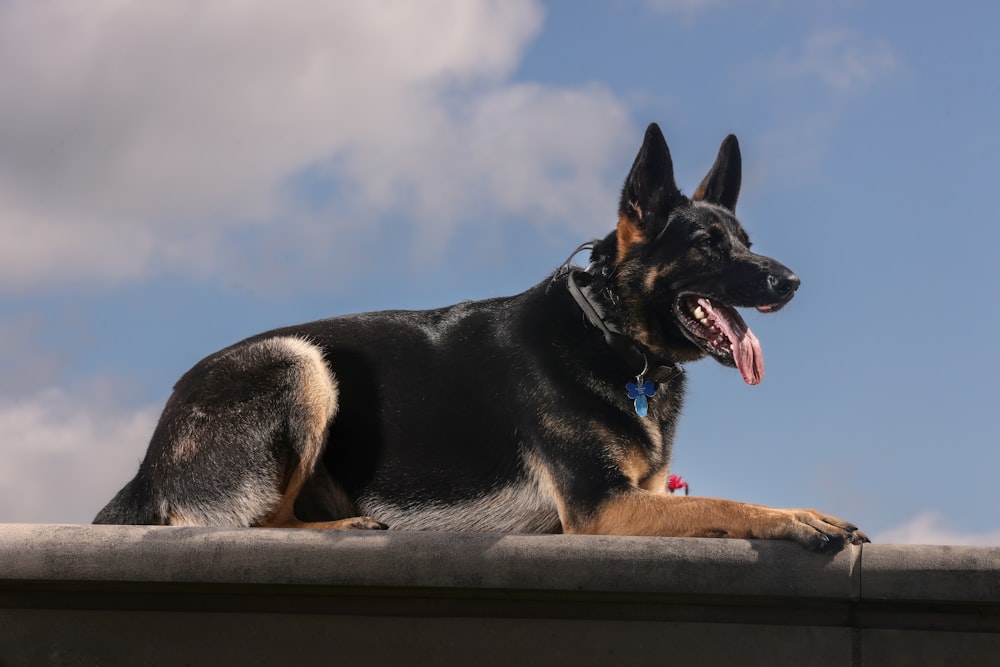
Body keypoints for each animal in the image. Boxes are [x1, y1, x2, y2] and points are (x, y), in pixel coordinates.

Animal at [97, 121, 872, 552]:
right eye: (709, 246)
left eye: (747, 242)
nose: (790, 281)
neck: (609, 334)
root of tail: (150, 463)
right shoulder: (600, 507)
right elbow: (729, 505)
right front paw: (802, 517)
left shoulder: (635, 495)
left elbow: (717, 498)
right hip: (301, 363)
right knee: (249, 524)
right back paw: (347, 528)